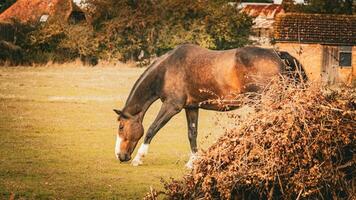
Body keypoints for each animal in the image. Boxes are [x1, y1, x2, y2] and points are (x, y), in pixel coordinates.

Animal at [114, 43, 306, 167]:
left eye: (121, 127)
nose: (120, 156)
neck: (167, 69)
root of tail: (277, 55)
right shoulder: (191, 107)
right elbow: (192, 134)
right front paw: (192, 162)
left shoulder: (171, 106)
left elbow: (152, 129)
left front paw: (139, 158)